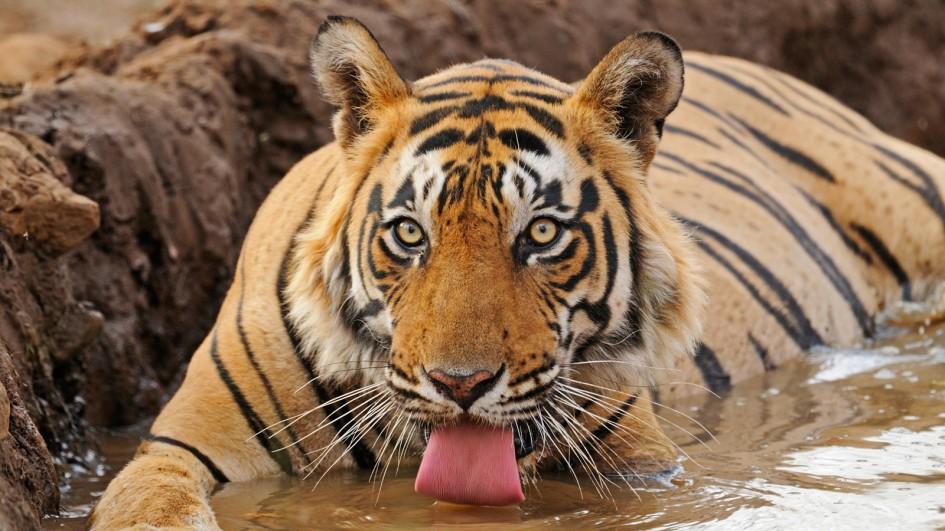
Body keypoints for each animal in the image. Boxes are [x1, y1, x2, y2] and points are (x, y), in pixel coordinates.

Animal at [90, 15, 945, 529]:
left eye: (539, 234)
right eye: (409, 234)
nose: (460, 384)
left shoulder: (643, 462)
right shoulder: (176, 448)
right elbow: (148, 504)